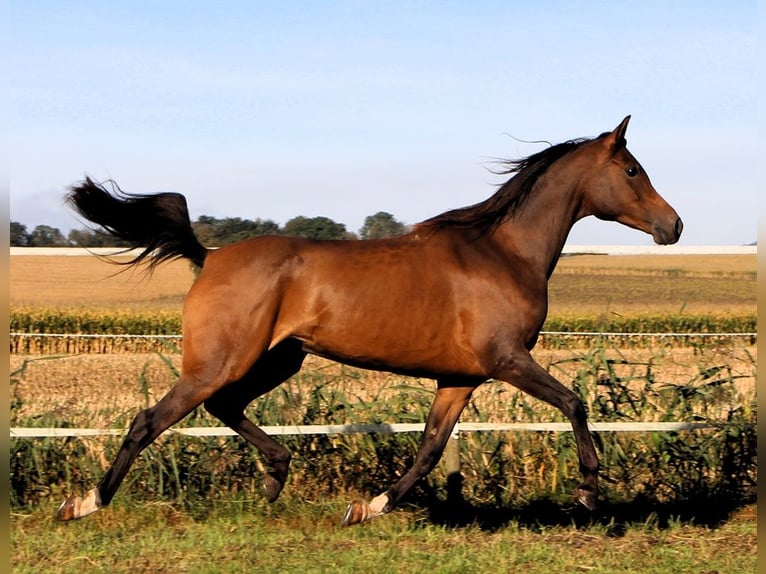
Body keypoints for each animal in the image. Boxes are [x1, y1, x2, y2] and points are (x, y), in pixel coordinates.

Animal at [57, 117, 680, 528]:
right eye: (632, 169)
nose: (673, 225)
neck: (503, 252)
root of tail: (208, 257)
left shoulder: (460, 379)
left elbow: (429, 450)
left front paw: (366, 507)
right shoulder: (507, 359)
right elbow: (575, 402)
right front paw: (589, 492)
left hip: (278, 358)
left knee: (224, 408)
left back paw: (277, 475)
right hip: (221, 361)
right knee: (151, 419)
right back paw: (86, 503)